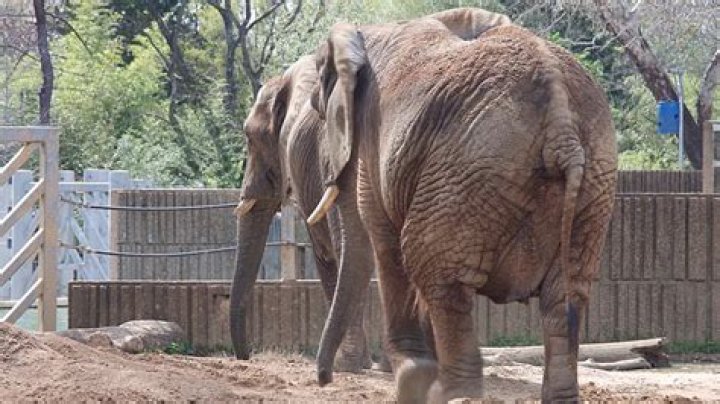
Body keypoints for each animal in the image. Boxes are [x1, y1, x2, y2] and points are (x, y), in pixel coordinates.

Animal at [306, 7, 618, 404]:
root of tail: (560, 118)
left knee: (434, 270)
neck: (365, 33)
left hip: (470, 168)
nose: (324, 379)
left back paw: (450, 392)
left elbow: (384, 239)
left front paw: (411, 382)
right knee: (565, 294)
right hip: (594, 180)